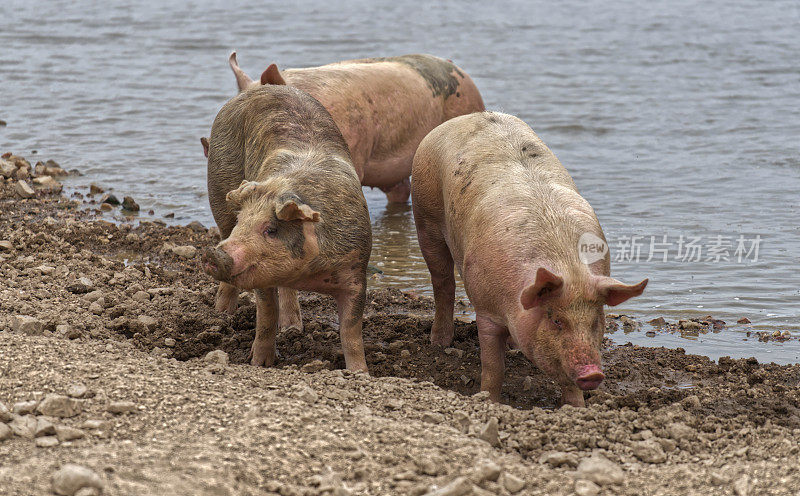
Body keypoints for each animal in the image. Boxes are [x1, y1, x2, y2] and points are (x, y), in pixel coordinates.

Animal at [202, 86, 374, 372]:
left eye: (271, 229)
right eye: (242, 221)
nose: (213, 254)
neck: (307, 271)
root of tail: (257, 89)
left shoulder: (356, 269)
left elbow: (351, 333)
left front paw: (360, 373)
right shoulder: (259, 273)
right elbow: (265, 316)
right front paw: (260, 363)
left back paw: (292, 327)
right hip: (218, 185)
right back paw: (222, 313)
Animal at [412, 112, 648, 406]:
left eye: (595, 321)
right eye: (556, 320)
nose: (593, 373)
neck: (568, 268)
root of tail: (469, 116)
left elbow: (566, 380)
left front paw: (576, 408)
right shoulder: (486, 310)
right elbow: (493, 366)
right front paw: (489, 400)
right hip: (424, 216)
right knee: (442, 282)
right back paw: (440, 343)